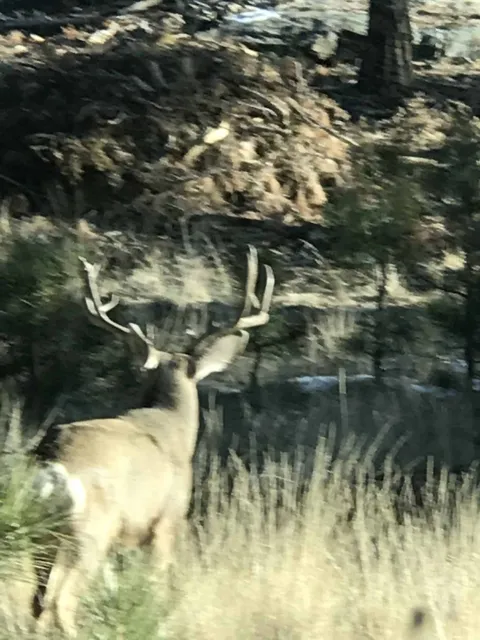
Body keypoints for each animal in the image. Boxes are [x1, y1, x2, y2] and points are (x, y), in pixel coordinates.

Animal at [32, 246, 274, 638]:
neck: (170, 425)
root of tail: (52, 466)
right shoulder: (166, 522)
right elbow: (157, 590)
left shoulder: (123, 539)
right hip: (89, 529)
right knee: (61, 602)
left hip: (44, 534)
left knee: (38, 603)